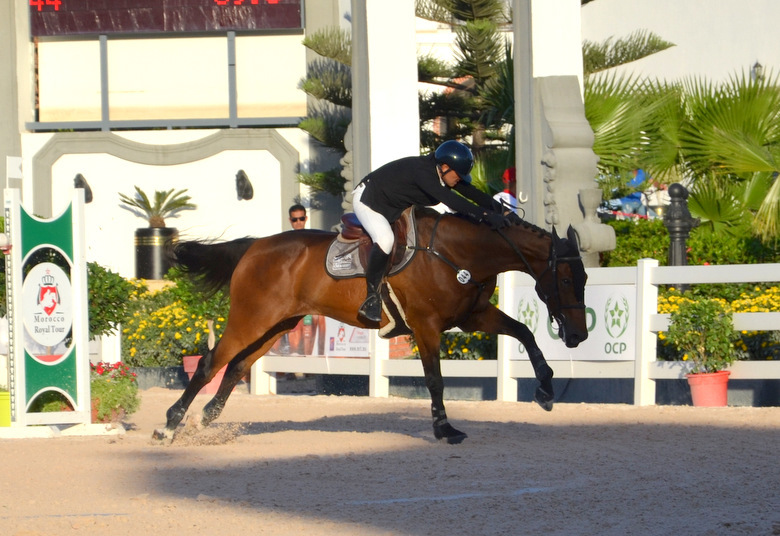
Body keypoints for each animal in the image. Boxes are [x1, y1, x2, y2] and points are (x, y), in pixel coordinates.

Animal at [152, 205, 588, 444]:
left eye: (584, 278)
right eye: (568, 279)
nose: (578, 335)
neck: (458, 253)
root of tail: (254, 246)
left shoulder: (472, 317)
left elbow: (525, 334)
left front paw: (546, 390)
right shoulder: (427, 326)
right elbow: (435, 380)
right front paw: (444, 429)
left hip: (276, 325)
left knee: (237, 365)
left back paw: (206, 419)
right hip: (251, 319)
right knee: (209, 363)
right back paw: (169, 426)